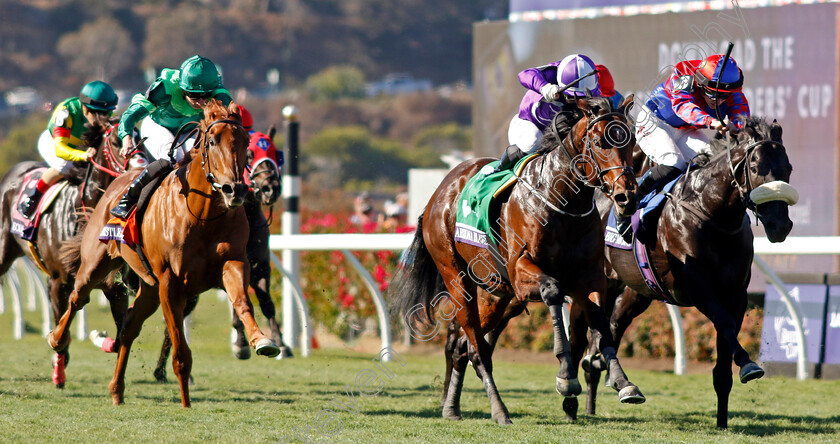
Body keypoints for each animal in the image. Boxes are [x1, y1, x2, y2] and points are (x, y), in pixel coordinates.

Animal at [0, 119, 131, 388]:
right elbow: (62, 335)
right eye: (115, 141)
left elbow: (120, 337)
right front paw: (58, 373)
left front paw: (99, 337)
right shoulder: (58, 282)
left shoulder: (115, 286)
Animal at [49, 100, 282, 406]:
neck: (203, 215)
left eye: (244, 142)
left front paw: (262, 341)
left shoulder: (234, 263)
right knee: (78, 298)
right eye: (212, 141)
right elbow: (180, 348)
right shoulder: (171, 282)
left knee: (129, 327)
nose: (236, 189)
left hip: (149, 287)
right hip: (97, 265)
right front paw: (185, 401)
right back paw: (57, 340)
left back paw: (117, 390)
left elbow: (244, 302)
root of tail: (113, 186)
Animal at [392, 96, 644, 424]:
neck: (563, 202)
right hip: (457, 278)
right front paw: (565, 375)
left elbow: (601, 324)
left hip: (494, 294)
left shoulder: (590, 277)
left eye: (632, 141)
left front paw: (623, 382)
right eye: (601, 142)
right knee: (478, 350)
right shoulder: (522, 273)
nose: (628, 197)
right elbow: (553, 291)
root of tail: (439, 193)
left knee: (463, 346)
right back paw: (499, 411)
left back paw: (451, 408)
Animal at [576, 116, 796, 428]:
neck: (712, 213)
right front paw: (749, 364)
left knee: (615, 326)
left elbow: (724, 353)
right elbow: (724, 324)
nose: (780, 226)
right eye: (755, 169)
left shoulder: (736, 294)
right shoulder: (696, 287)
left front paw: (722, 420)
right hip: (602, 281)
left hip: (637, 291)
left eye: (788, 169)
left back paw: (604, 381)